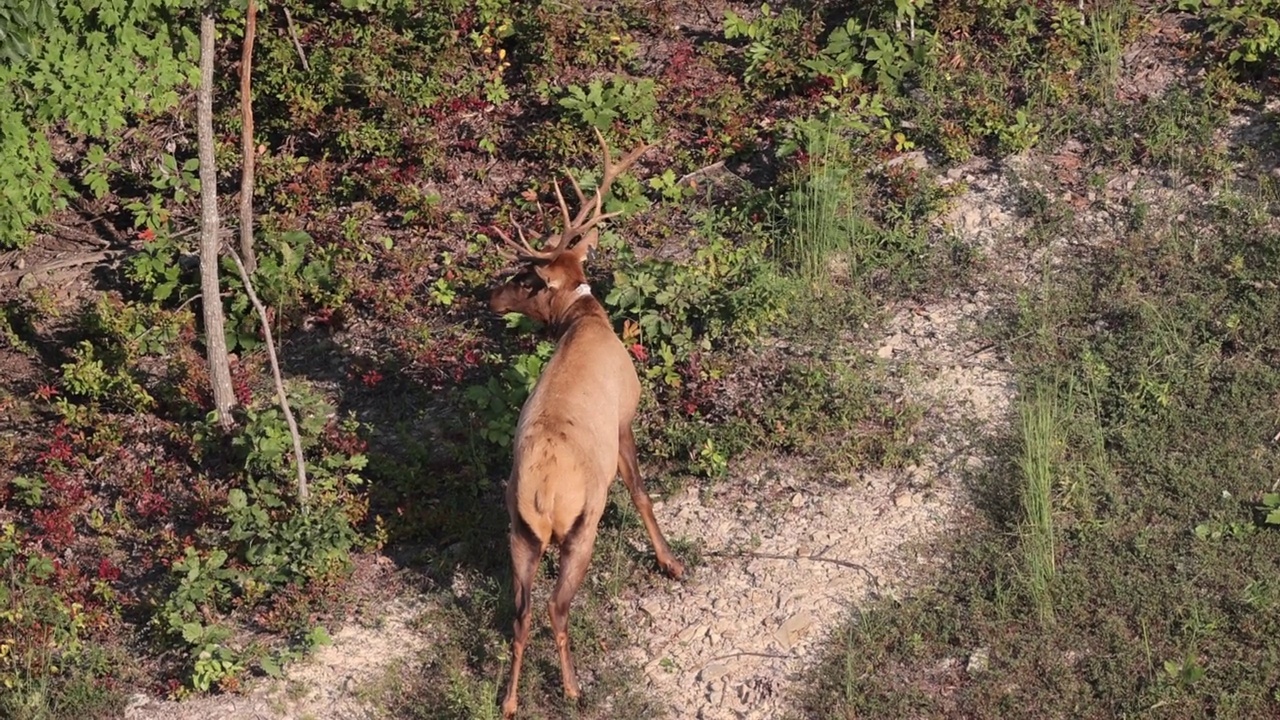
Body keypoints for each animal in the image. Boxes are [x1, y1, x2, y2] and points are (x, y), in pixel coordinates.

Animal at [486, 130, 686, 717]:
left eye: (524, 278)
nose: (491, 295)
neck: (586, 323)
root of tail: (544, 496)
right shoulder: (623, 417)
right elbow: (641, 492)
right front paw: (671, 562)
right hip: (581, 525)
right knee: (556, 607)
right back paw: (574, 688)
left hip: (519, 531)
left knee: (522, 613)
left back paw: (510, 701)